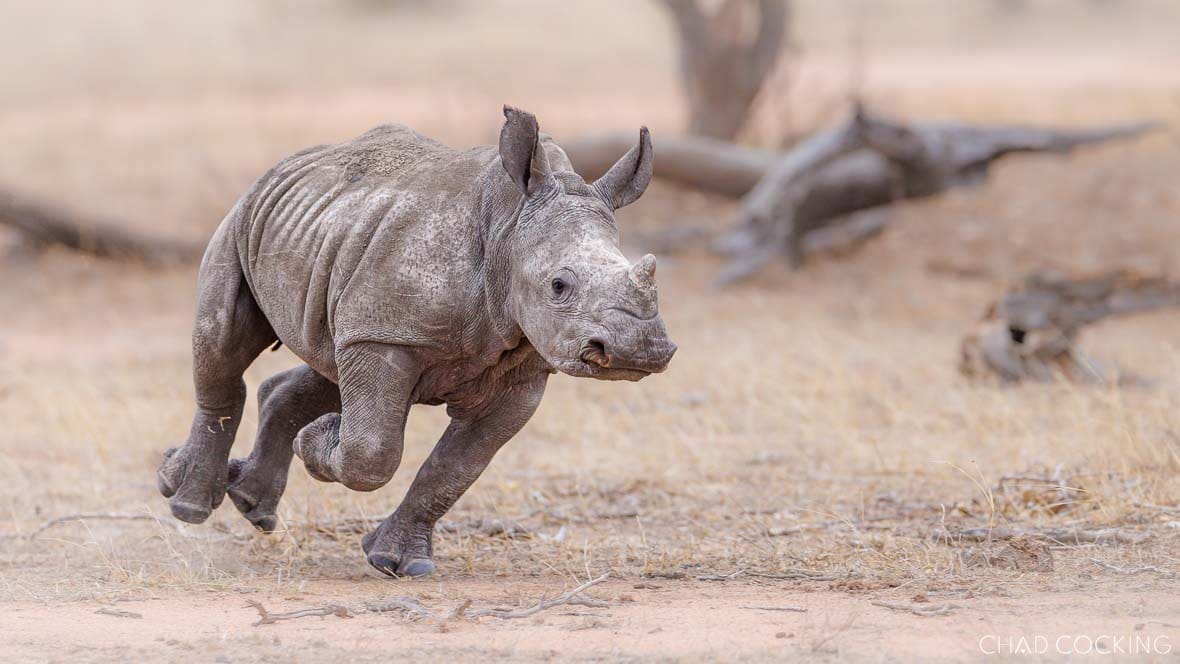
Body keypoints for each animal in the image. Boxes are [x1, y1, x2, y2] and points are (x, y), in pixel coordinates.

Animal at [157, 106, 676, 577]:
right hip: (245, 218)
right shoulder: (385, 336)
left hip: (336, 249)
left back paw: (251, 504)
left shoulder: (520, 369)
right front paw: (321, 439)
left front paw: (396, 562)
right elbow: (372, 451)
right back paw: (186, 502)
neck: (507, 229)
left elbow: (454, 469)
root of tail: (287, 162)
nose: (638, 350)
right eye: (559, 285)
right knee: (224, 342)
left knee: (328, 359)